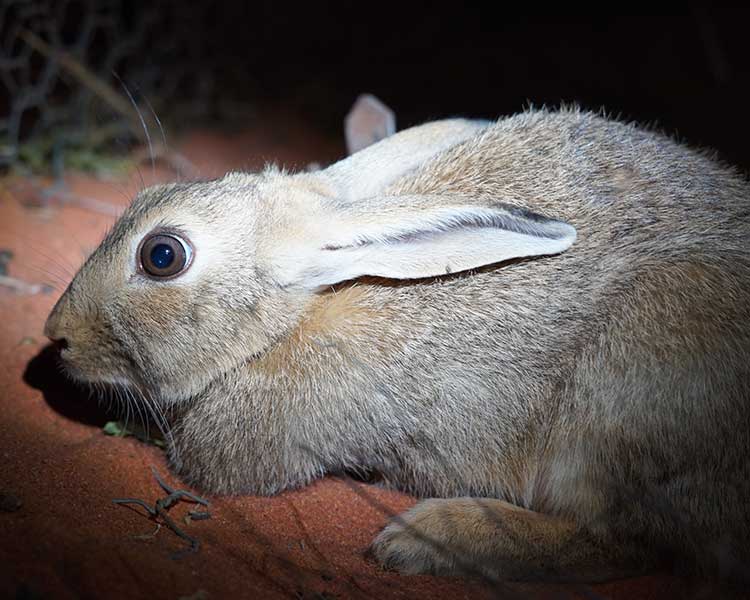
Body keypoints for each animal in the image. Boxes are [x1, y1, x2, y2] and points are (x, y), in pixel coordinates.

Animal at [45, 106, 750, 580]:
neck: (293, 316)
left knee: (627, 542)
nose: (57, 335)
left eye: (162, 255)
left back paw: (428, 537)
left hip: (630, 382)